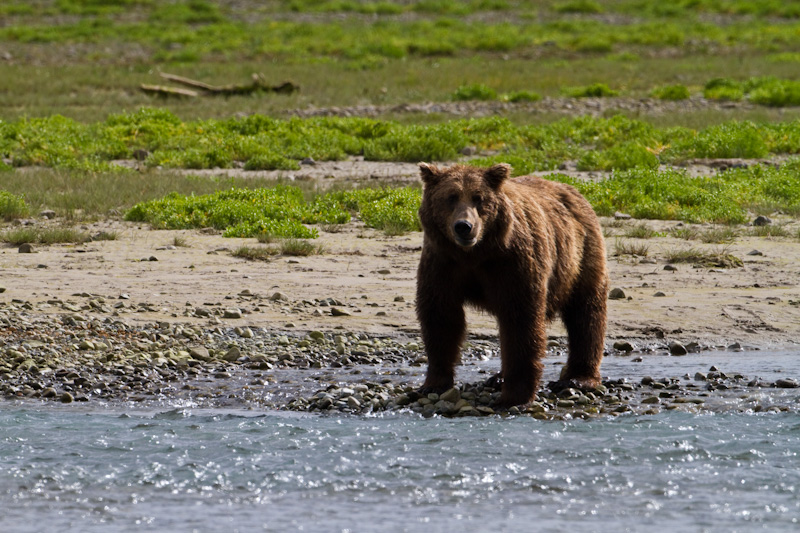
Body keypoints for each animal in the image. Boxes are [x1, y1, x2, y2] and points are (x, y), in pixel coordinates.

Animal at [416, 160, 608, 406]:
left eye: (478, 198)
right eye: (451, 197)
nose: (464, 226)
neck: (474, 254)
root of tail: (573, 191)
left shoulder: (513, 263)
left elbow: (520, 321)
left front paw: (514, 395)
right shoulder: (443, 264)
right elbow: (441, 317)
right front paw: (433, 383)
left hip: (581, 256)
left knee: (585, 314)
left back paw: (577, 378)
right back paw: (497, 378)